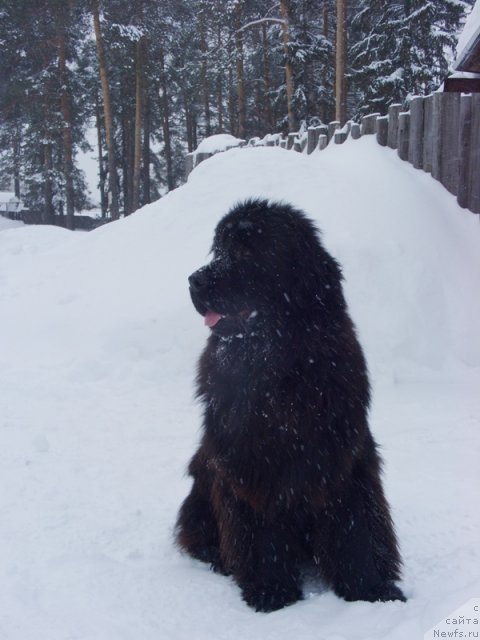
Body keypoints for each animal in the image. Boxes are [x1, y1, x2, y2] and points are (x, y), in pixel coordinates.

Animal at [175, 199, 404, 608]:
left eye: (245, 253)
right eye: (218, 250)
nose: (194, 280)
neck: (279, 370)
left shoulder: (343, 459)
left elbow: (357, 527)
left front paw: (371, 589)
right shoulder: (249, 466)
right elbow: (260, 533)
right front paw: (272, 591)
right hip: (200, 492)